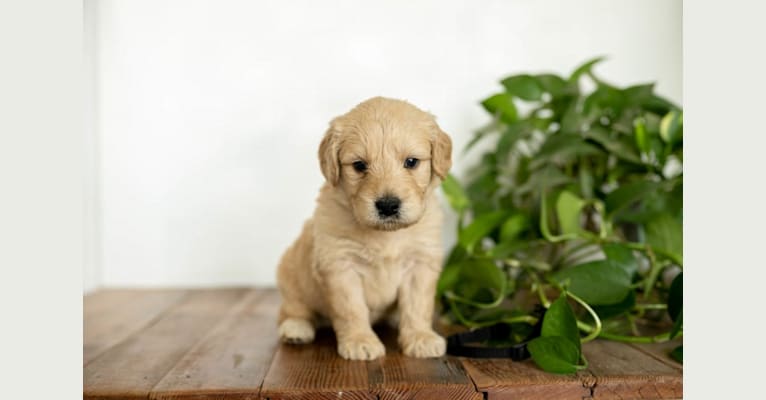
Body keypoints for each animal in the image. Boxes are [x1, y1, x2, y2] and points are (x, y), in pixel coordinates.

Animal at [278, 96, 452, 360]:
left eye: (411, 162)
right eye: (359, 165)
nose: (388, 205)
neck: (386, 235)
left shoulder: (420, 263)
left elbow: (418, 305)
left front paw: (420, 337)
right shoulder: (340, 265)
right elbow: (351, 308)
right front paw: (360, 341)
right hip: (291, 275)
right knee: (293, 309)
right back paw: (295, 328)